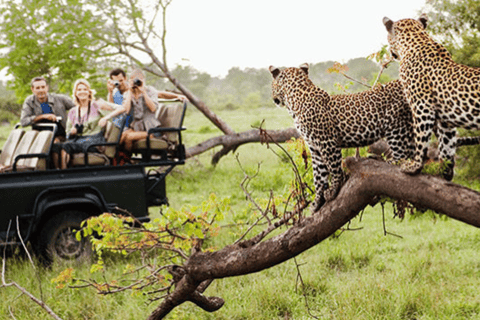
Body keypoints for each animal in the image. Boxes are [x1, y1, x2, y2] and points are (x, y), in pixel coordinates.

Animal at [268, 63, 414, 211]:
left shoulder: (327, 142)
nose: (274, 99)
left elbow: (334, 168)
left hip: (396, 125)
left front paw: (333, 189)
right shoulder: (314, 148)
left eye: (272, 85)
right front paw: (317, 201)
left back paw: (386, 161)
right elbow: (319, 176)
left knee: (402, 155)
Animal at [384, 13, 480, 176]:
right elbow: (447, 145)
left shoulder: (422, 106)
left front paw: (414, 166)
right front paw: (444, 172)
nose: (391, 53)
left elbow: (420, 139)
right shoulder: (446, 120)